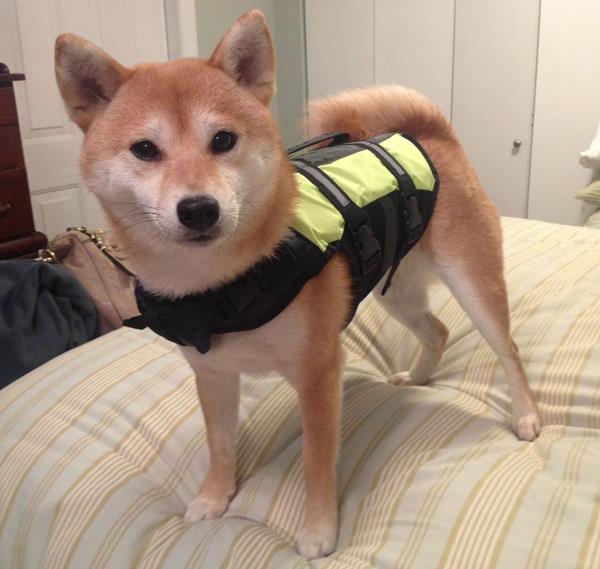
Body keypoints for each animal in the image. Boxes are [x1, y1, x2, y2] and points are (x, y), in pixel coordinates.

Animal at [56, 10, 540, 560]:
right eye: (144, 149)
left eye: (222, 140)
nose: (198, 208)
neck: (222, 286)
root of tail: (424, 134)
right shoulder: (214, 376)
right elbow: (219, 447)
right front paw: (213, 499)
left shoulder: (318, 372)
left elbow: (316, 462)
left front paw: (318, 531)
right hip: (394, 292)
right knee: (436, 331)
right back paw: (417, 377)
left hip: (473, 283)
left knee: (508, 350)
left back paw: (525, 415)